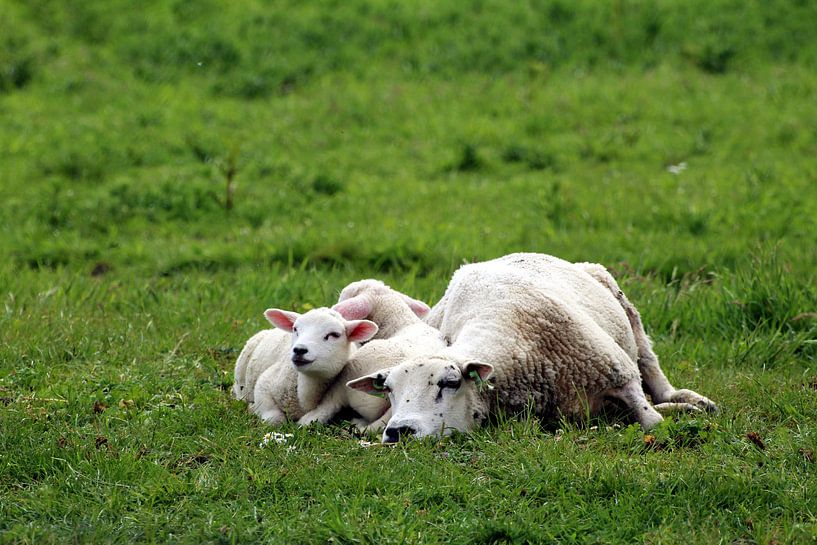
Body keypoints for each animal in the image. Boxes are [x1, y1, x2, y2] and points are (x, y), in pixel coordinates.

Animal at [233, 308, 380, 422]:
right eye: (295, 329)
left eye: (334, 334)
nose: (299, 350)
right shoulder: (264, 383)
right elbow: (274, 419)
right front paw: (253, 409)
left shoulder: (332, 400)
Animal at [348, 252, 716, 442]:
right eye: (389, 390)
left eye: (449, 383)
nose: (399, 432)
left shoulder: (620, 373)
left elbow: (653, 423)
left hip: (626, 312)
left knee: (651, 371)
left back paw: (688, 402)